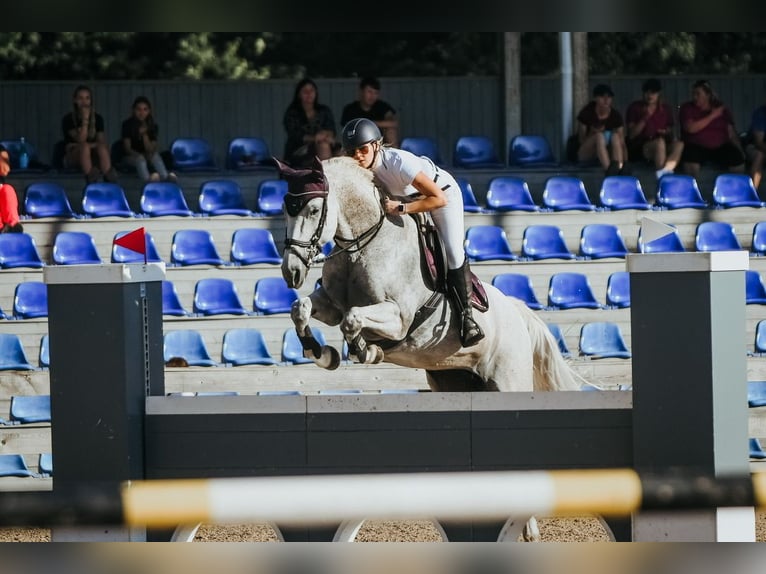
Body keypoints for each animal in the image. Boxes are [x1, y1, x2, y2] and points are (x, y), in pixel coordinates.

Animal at [278, 155, 585, 393]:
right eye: (284, 209)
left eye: (313, 210)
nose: (291, 272)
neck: (362, 246)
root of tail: (517, 311)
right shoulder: (331, 305)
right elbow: (300, 308)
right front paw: (321, 354)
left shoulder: (398, 318)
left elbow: (352, 319)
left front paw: (367, 351)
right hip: (454, 379)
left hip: (508, 378)